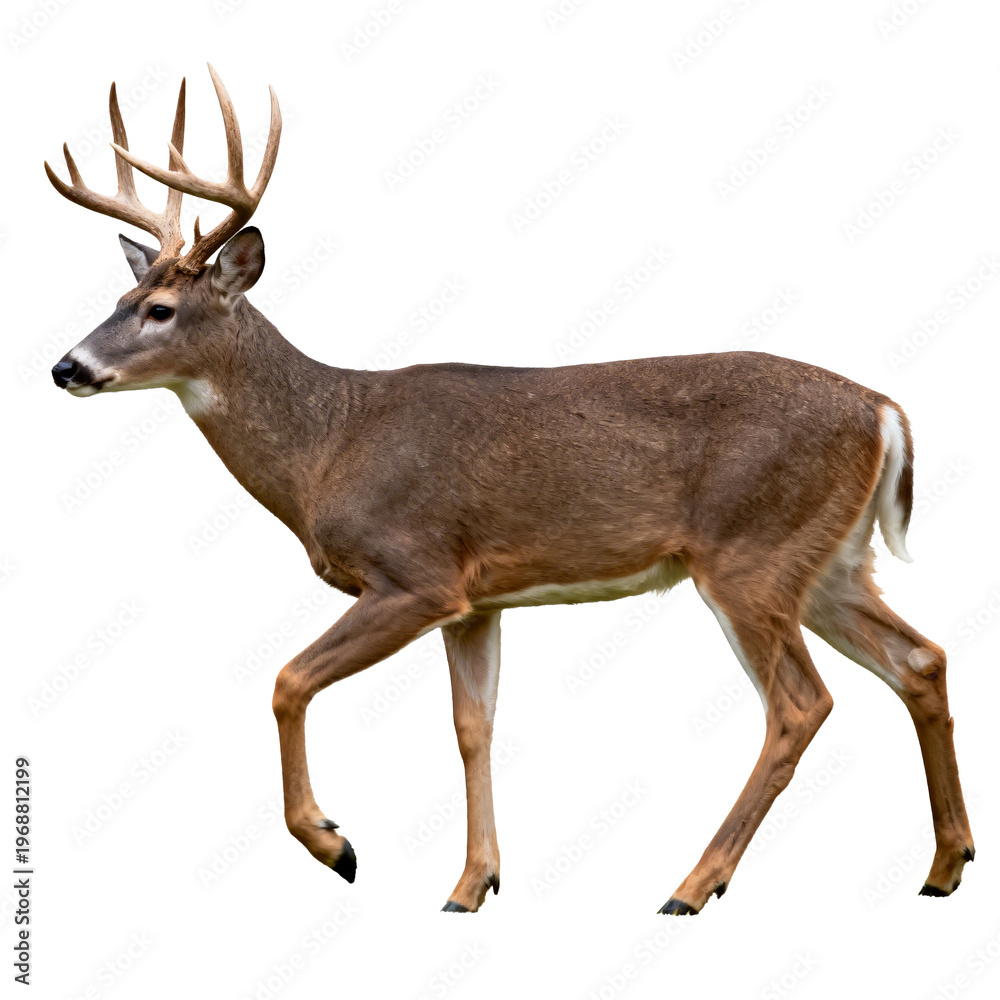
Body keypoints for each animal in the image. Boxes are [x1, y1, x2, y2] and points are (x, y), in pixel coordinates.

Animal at [45, 65, 974, 914]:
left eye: (160, 309)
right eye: (121, 294)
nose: (67, 367)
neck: (328, 446)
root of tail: (883, 410)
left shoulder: (414, 573)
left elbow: (288, 680)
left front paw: (336, 845)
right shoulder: (477, 599)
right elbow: (472, 728)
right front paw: (471, 885)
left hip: (751, 554)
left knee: (801, 705)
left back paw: (692, 885)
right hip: (830, 560)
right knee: (920, 659)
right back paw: (944, 866)